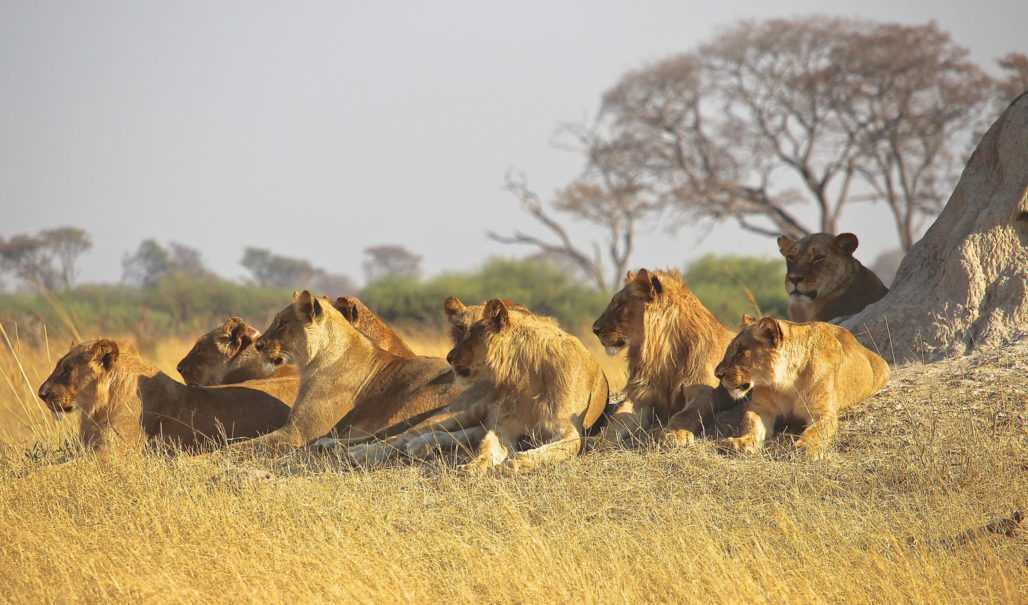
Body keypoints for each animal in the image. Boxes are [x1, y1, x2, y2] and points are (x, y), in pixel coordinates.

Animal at [235, 289, 468, 451]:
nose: (258, 345)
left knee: (393, 437)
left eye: (282, 323)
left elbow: (245, 444)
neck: (311, 363)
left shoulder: (297, 432)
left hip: (410, 404)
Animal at [592, 267, 744, 443]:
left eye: (620, 305)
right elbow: (618, 419)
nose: (594, 329)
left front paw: (674, 434)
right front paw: (599, 440)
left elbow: (686, 414)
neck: (662, 356)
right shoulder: (640, 396)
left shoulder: (704, 393)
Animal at [715, 314, 892, 456]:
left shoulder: (823, 413)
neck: (786, 382)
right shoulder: (761, 408)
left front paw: (805, 447)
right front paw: (741, 442)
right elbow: (751, 423)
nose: (717, 374)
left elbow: (816, 431)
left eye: (740, 352)